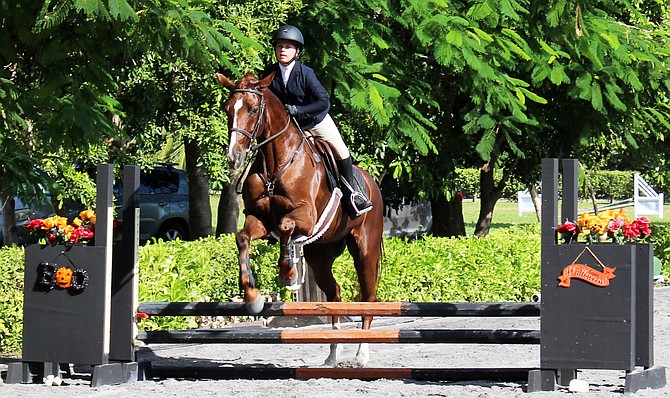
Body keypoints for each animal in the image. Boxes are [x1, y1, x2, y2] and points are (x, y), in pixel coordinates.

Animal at [218, 70, 386, 366]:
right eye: (228, 109)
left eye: (253, 109)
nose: (233, 157)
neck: (275, 163)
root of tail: (372, 184)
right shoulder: (259, 219)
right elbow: (243, 238)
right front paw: (253, 297)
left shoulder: (305, 217)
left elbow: (286, 225)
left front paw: (288, 272)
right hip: (321, 255)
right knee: (334, 294)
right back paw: (332, 354)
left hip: (365, 248)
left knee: (368, 295)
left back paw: (361, 353)